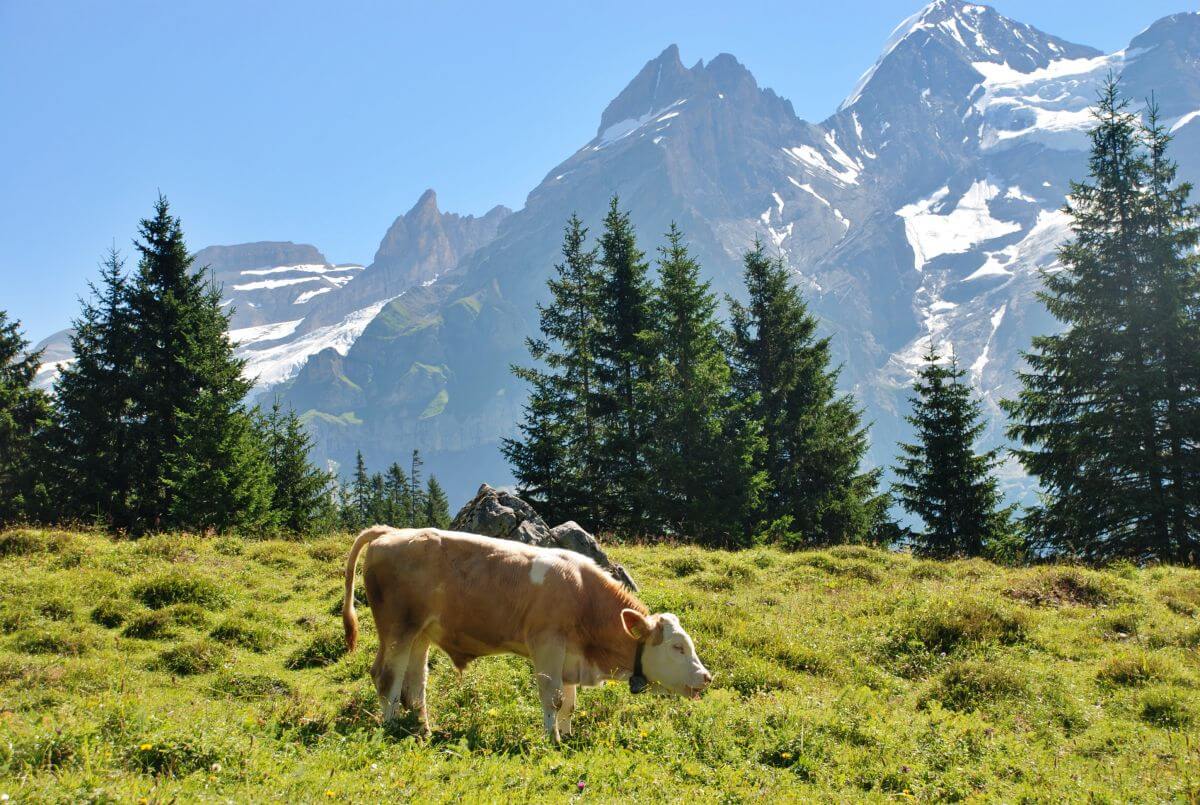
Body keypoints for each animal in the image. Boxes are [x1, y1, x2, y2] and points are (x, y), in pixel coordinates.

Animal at [342, 525, 712, 742]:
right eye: (677, 647)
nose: (706, 677)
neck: (583, 595)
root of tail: (391, 532)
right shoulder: (547, 644)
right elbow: (553, 697)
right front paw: (553, 741)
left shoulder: (569, 656)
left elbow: (570, 703)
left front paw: (567, 734)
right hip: (397, 628)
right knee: (387, 679)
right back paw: (390, 729)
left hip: (421, 633)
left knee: (415, 686)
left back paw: (425, 731)